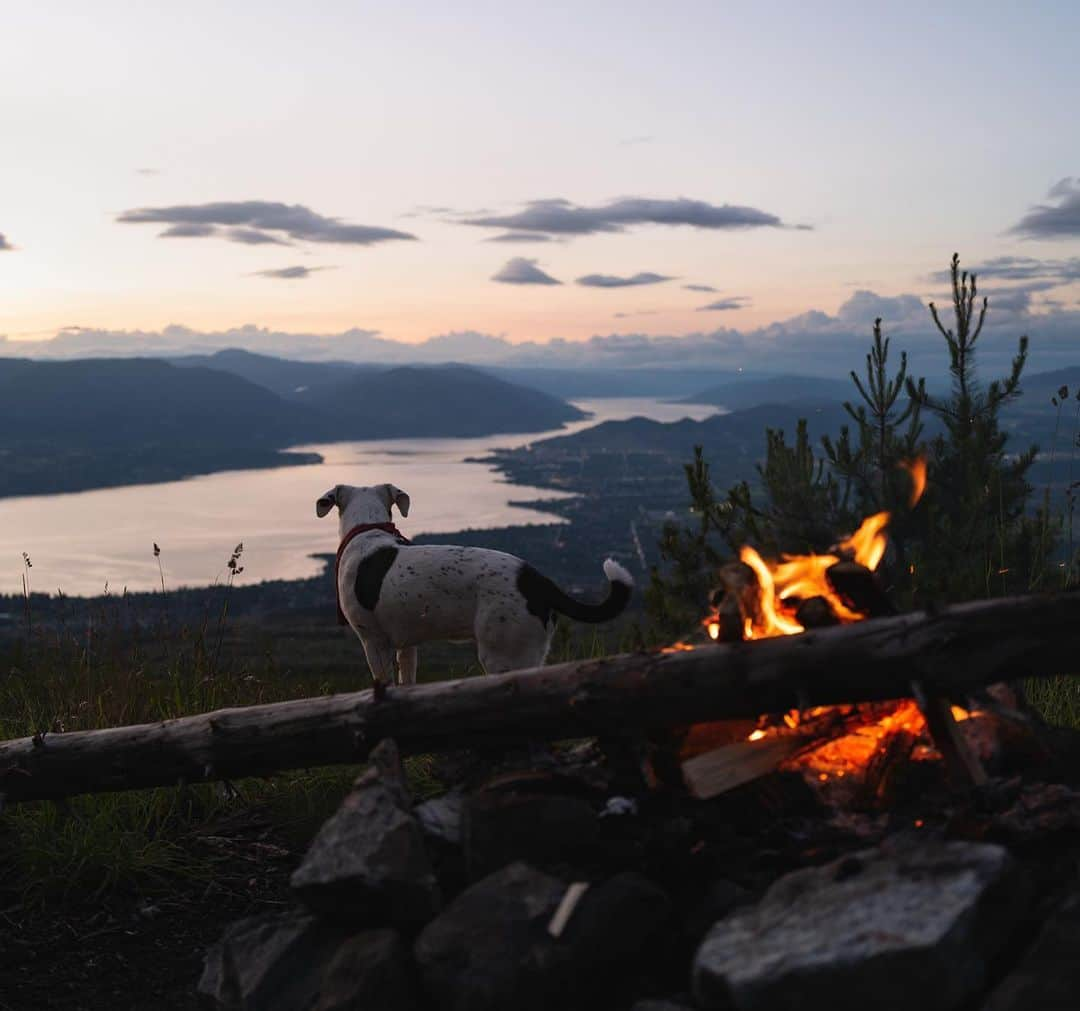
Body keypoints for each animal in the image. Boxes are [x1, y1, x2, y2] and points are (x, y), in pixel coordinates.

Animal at [315, 481, 630, 686]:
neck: (366, 533)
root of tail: (537, 580)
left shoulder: (374, 643)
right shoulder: (407, 646)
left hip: (502, 654)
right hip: (530, 653)